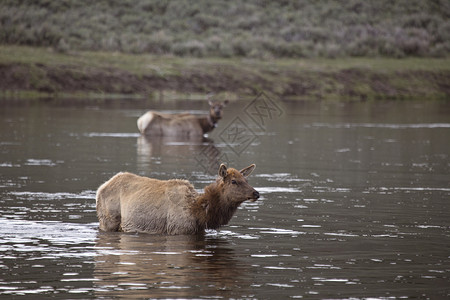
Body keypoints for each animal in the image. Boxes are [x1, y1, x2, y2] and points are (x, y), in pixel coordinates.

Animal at [96, 163, 262, 236]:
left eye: (246, 180)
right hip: (108, 220)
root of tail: (100, 188)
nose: (256, 193)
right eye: (234, 181)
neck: (199, 213)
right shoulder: (179, 229)